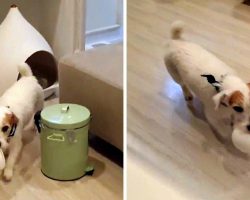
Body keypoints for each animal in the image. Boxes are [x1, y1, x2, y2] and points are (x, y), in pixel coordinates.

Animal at [164, 21, 250, 153]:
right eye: (238, 108)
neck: (220, 84)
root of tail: (175, 41)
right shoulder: (212, 116)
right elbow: (224, 131)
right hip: (175, 75)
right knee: (183, 84)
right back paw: (187, 94)